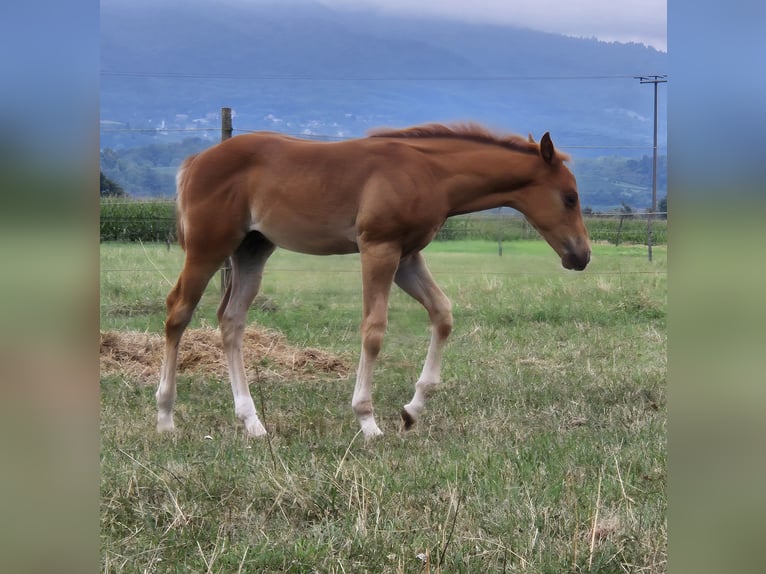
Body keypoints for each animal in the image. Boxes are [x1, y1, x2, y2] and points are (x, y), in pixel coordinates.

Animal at [156, 123, 591, 439]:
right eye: (570, 197)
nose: (582, 256)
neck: (430, 172)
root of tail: (195, 161)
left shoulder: (407, 257)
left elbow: (443, 313)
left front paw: (411, 410)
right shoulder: (379, 248)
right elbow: (374, 329)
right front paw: (367, 420)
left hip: (252, 249)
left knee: (231, 320)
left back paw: (253, 423)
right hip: (209, 246)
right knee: (178, 311)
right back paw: (165, 417)